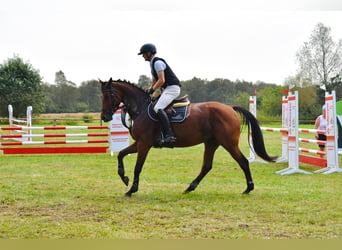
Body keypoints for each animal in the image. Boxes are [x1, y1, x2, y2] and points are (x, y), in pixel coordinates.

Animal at [100, 78, 276, 197]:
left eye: (108, 96)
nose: (105, 116)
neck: (140, 108)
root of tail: (230, 108)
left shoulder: (144, 143)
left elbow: (138, 166)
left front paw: (131, 190)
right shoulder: (139, 143)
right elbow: (121, 154)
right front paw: (124, 178)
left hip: (229, 143)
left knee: (243, 161)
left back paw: (248, 188)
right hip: (211, 143)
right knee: (207, 166)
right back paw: (190, 187)